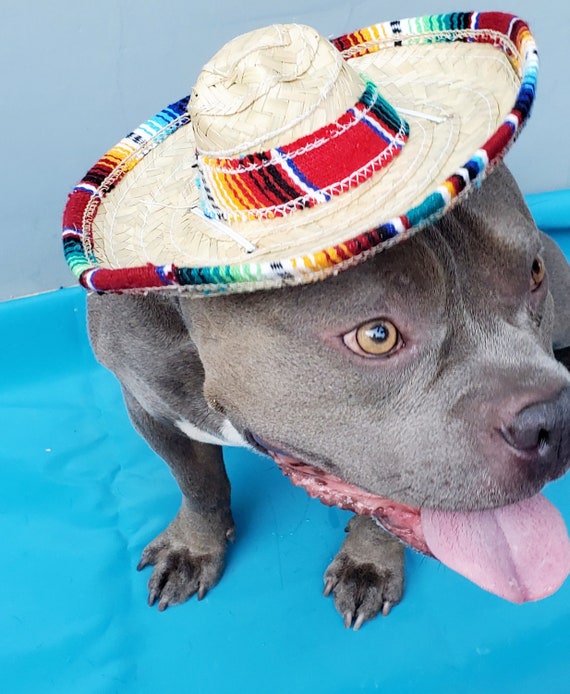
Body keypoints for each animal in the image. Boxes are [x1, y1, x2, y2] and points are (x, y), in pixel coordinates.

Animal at [86, 164, 568, 632]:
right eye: (376, 335)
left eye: (534, 273)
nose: (558, 418)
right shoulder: (146, 406)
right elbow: (197, 484)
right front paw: (194, 548)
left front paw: (368, 563)